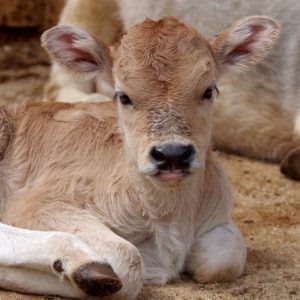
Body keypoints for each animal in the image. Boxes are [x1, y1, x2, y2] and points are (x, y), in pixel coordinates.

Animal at [0, 17, 278, 300]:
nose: (172, 154)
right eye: (123, 96)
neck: (169, 216)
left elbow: (224, 260)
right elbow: (128, 264)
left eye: (208, 91)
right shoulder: (37, 204)